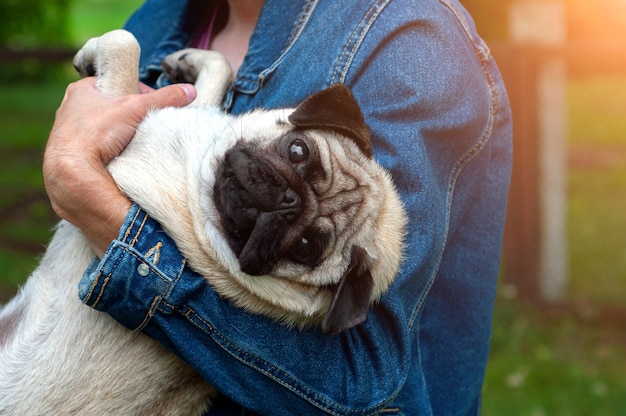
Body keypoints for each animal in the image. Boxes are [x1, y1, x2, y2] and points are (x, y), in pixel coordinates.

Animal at [0, 30, 404, 416]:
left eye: (306, 247)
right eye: (298, 151)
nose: (289, 200)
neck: (199, 187)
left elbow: (124, 47)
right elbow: (212, 77)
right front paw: (187, 62)